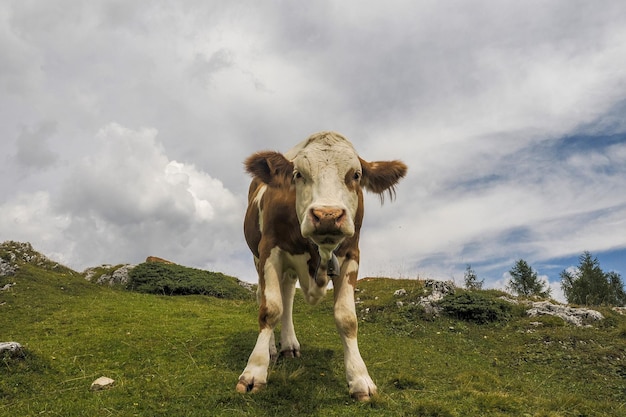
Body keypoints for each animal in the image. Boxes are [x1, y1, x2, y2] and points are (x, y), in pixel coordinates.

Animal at [236, 130, 408, 400]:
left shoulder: (351, 255)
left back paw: (289, 345)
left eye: (355, 175)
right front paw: (254, 371)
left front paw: (360, 379)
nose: (327, 215)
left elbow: (347, 318)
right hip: (257, 257)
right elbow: (270, 309)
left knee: (288, 297)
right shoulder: (269, 251)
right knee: (265, 297)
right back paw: (272, 350)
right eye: (298, 174)